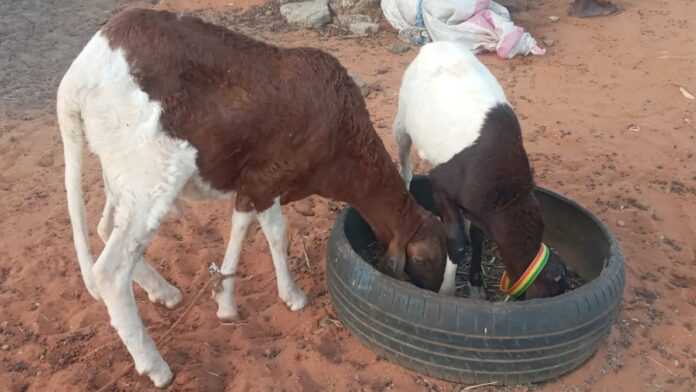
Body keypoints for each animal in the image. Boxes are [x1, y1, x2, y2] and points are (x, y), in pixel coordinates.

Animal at [58, 8, 446, 386]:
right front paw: (292, 297)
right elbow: (276, 234)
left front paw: (225, 301)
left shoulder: (252, 185)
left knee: (105, 228)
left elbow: (241, 225)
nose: (438, 294)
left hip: (122, 174)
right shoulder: (269, 177)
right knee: (110, 270)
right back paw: (155, 366)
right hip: (151, 173)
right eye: (426, 258)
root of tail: (77, 80)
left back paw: (163, 292)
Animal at [394, 41, 568, 300]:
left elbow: (477, 238)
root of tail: (436, 44)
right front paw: (447, 290)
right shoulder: (442, 189)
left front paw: (476, 285)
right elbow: (456, 244)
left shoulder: (479, 207)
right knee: (405, 167)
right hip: (402, 120)